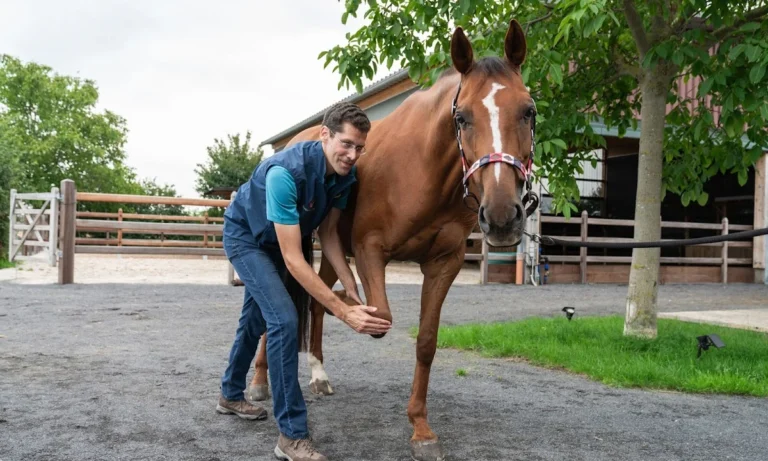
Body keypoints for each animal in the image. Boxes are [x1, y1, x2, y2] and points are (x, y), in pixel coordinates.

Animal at [247, 19, 537, 461]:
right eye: (462, 118)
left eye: (529, 111)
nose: (503, 216)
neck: (425, 170)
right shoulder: (370, 251)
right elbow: (379, 317)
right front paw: (359, 311)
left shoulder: (444, 262)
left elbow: (426, 342)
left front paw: (421, 428)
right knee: (281, 308)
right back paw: (260, 382)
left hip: (331, 250)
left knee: (315, 300)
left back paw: (318, 373)